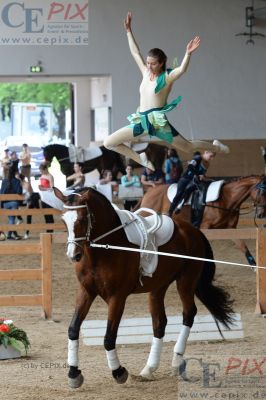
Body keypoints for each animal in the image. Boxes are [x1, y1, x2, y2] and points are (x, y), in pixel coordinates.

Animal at [53, 187, 233, 388]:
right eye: (63, 220)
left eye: (83, 219)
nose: (73, 255)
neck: (101, 251)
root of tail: (193, 230)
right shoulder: (86, 292)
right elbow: (73, 329)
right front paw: (73, 373)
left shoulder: (117, 297)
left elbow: (109, 337)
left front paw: (119, 372)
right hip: (158, 288)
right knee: (160, 323)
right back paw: (149, 369)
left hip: (185, 282)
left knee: (189, 314)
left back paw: (177, 361)